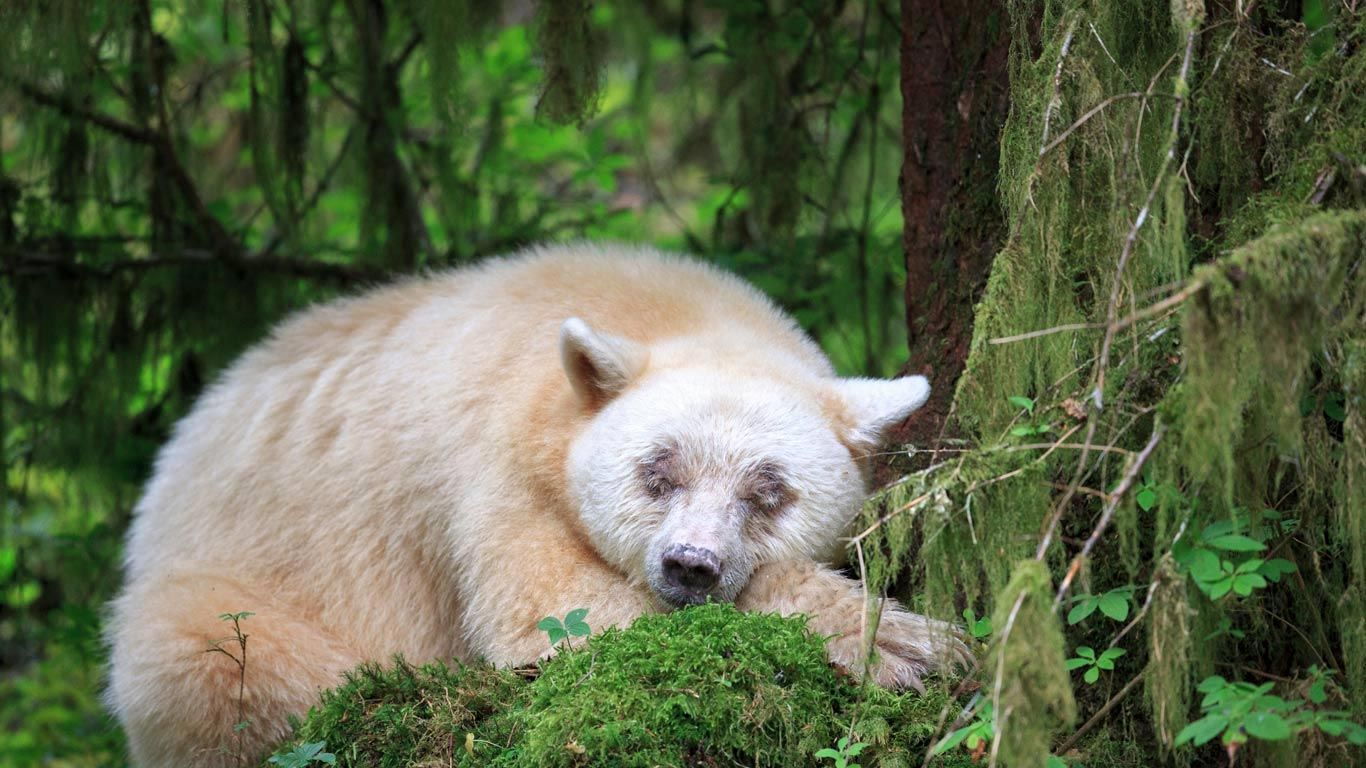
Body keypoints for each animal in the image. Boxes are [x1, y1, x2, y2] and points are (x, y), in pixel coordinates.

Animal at [106, 244, 968, 766]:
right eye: (658, 473)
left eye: (768, 491)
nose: (690, 565)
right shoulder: (497, 465)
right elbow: (557, 615)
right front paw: (899, 645)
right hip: (232, 582)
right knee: (204, 654)